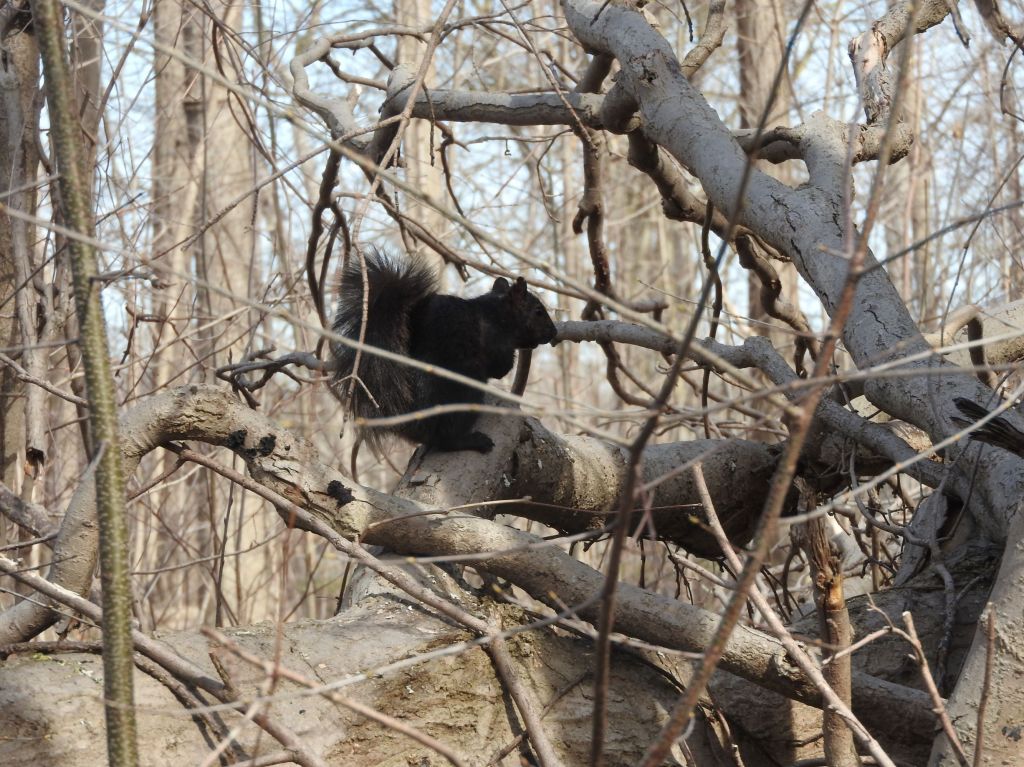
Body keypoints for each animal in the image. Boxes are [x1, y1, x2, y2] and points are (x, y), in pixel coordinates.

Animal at [330, 249, 557, 453]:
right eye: (538, 312)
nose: (554, 331)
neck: (497, 313)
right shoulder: (496, 341)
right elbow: (500, 367)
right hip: (464, 389)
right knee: (445, 436)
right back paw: (471, 441)